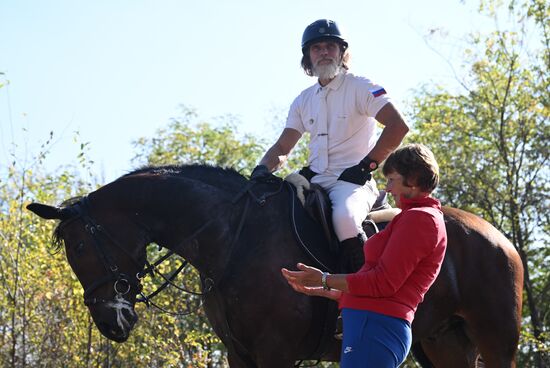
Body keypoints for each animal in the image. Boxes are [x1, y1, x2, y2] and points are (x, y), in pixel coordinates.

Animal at [27, 165, 528, 366]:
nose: (111, 323)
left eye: (82, 247)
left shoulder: (275, 351)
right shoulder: (240, 353)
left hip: (495, 341)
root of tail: (498, 237)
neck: (232, 239)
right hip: (441, 343)